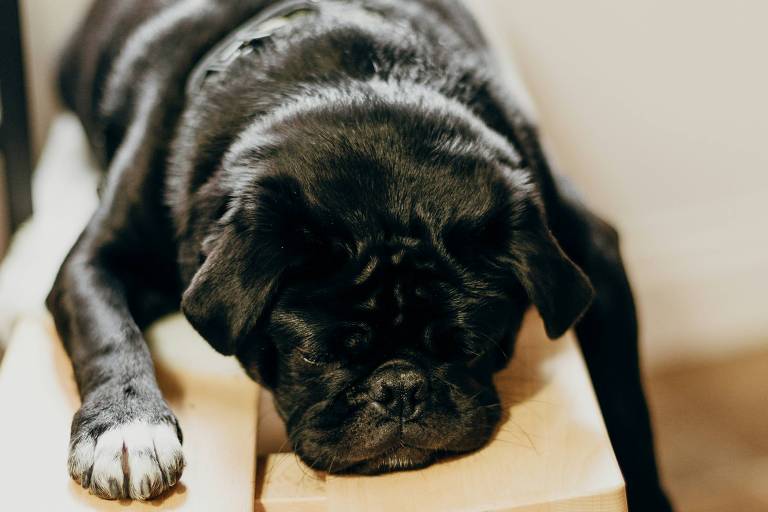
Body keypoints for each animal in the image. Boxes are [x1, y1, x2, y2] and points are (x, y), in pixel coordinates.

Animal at [49, 0, 672, 506]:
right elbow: (111, 336)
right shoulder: (92, 262)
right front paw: (128, 428)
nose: (401, 389)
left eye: (474, 347)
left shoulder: (591, 254)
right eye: (315, 356)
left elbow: (627, 407)